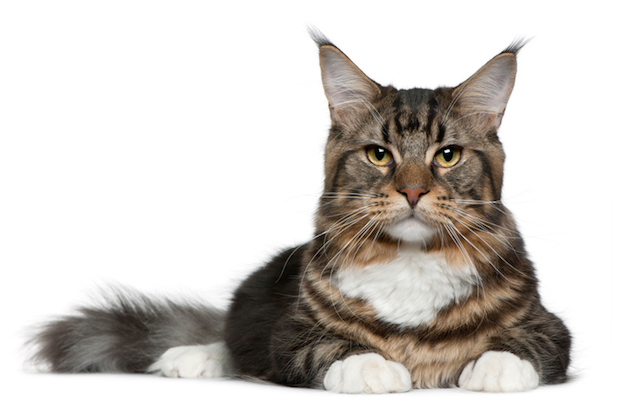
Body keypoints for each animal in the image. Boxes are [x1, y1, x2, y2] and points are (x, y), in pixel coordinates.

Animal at [27, 33, 572, 392]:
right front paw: (372, 367)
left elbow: (524, 344)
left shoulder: (552, 329)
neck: (411, 259)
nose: (413, 191)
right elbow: (328, 346)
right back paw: (189, 357)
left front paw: (494, 367)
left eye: (448, 155)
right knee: (233, 339)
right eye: (379, 155)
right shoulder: (291, 333)